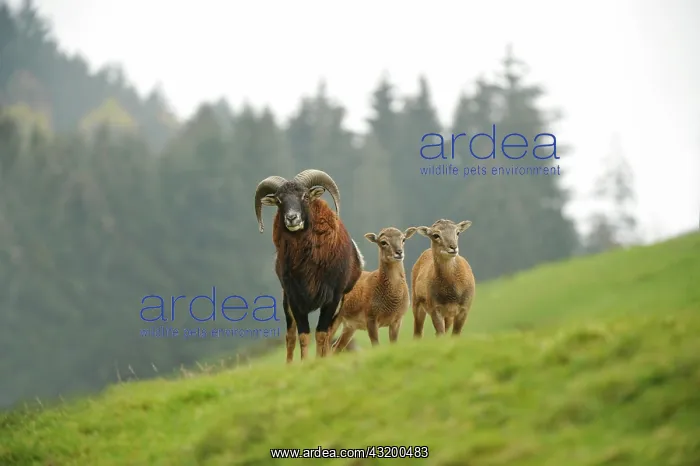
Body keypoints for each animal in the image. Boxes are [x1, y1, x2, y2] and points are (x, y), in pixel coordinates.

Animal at [254, 169, 364, 362]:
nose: (292, 218)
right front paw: (304, 363)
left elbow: (321, 334)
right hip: (286, 303)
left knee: (329, 335)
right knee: (290, 337)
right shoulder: (295, 299)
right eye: (279, 201)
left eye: (305, 196)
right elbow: (303, 336)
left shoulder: (332, 299)